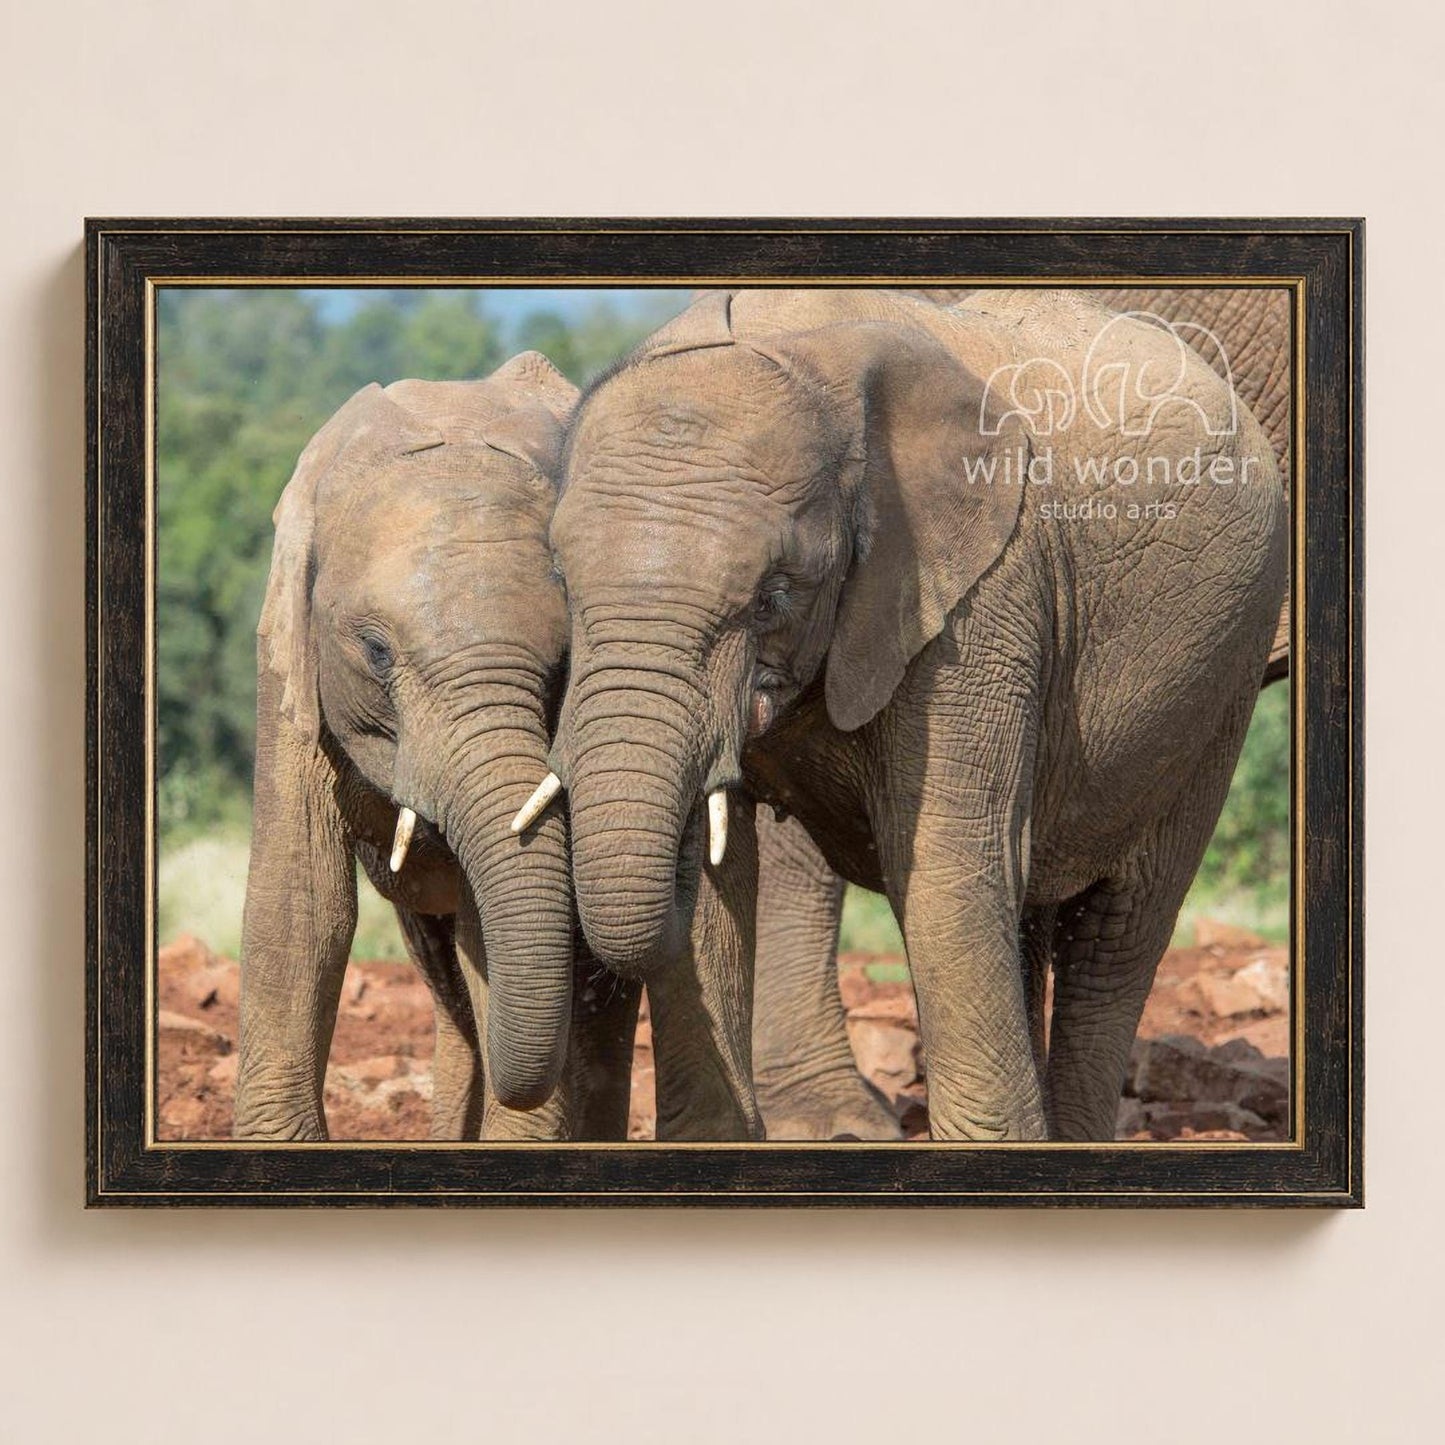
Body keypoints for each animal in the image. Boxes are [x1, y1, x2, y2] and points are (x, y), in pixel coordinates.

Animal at [536, 287, 1287, 1142]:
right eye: (559, 578)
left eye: (773, 596)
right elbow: (719, 891)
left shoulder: (978, 599)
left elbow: (946, 860)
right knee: (1029, 914)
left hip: (1223, 673)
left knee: (1119, 929)